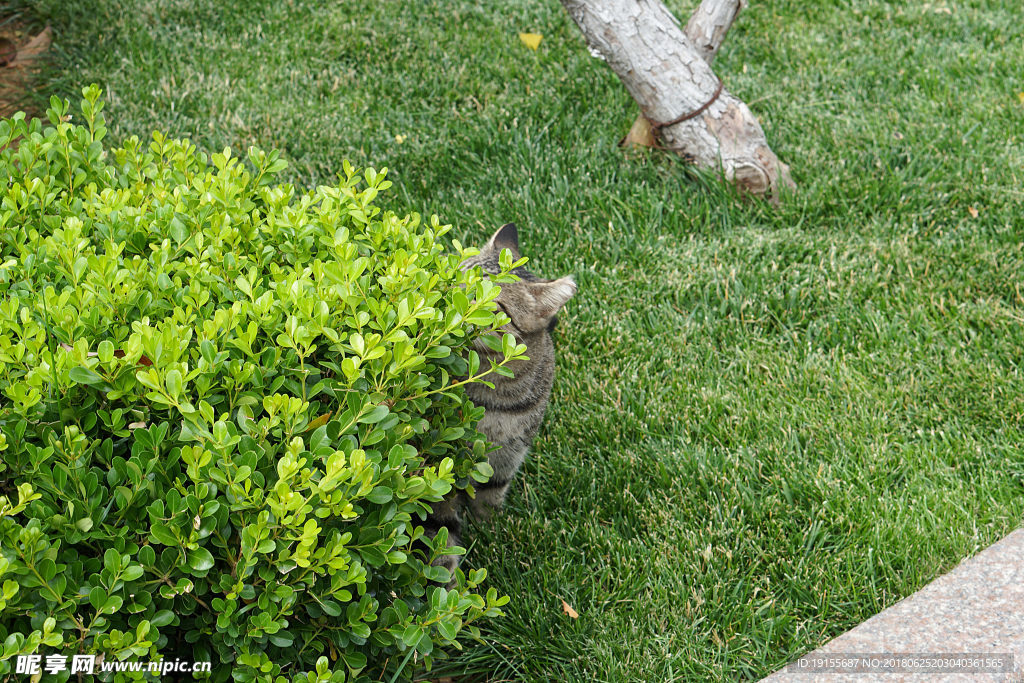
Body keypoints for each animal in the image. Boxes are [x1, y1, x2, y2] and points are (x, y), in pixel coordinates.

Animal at [419, 225, 573, 577]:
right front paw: (448, 585)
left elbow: (489, 497)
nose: (446, 300)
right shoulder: (436, 464)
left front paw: (490, 529)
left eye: (491, 302)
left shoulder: (508, 453)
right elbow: (439, 534)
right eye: (456, 277)